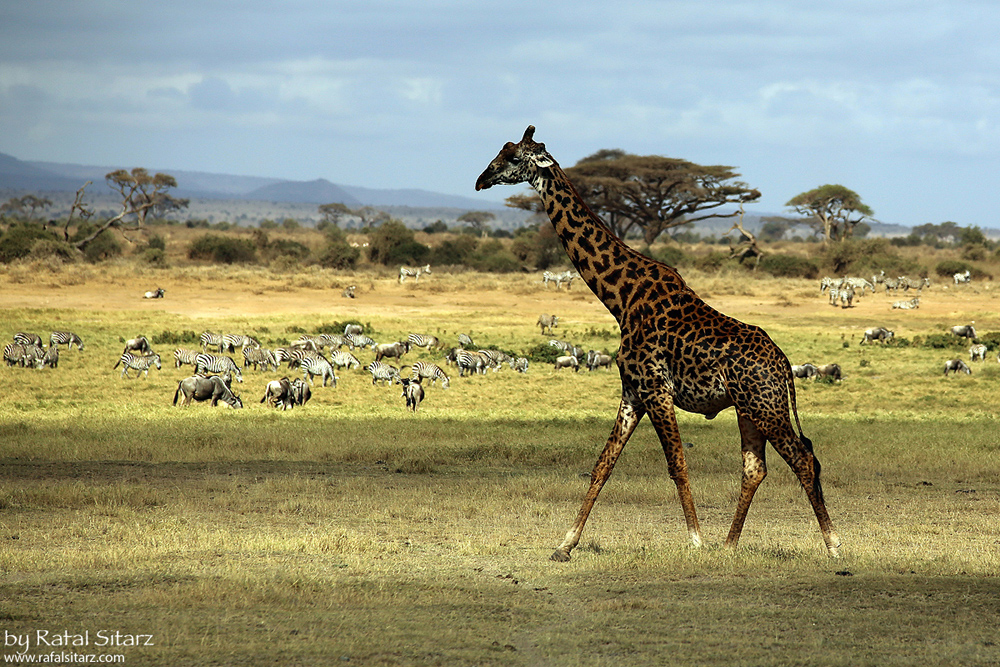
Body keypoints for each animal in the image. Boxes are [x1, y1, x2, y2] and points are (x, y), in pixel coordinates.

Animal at [476, 126, 844, 564]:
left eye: (514, 157)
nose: (480, 180)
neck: (620, 298)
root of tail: (785, 365)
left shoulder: (656, 390)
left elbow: (677, 465)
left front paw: (696, 540)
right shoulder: (632, 393)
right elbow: (603, 464)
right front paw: (564, 545)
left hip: (765, 405)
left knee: (803, 458)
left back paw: (833, 545)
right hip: (748, 409)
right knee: (755, 468)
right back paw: (729, 544)